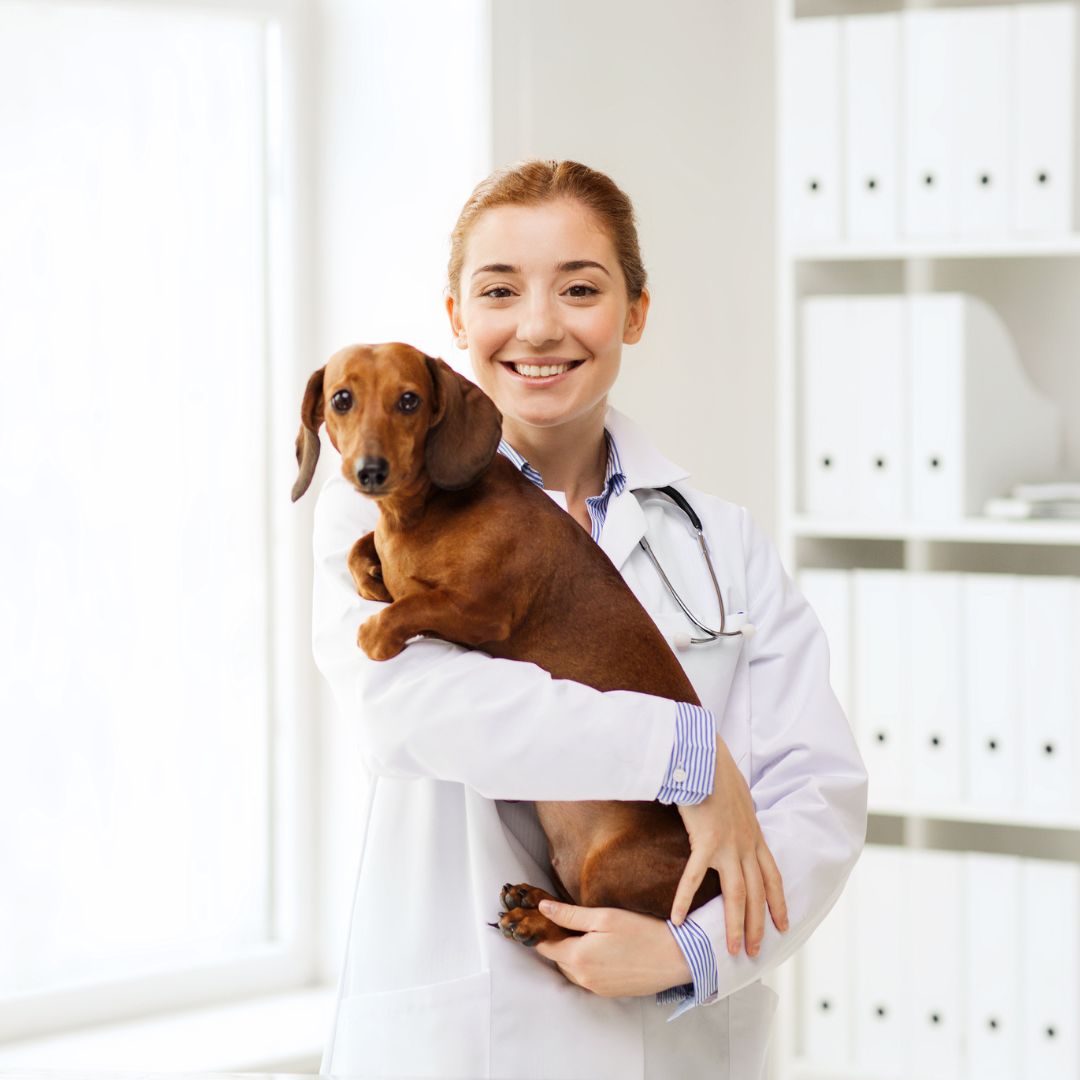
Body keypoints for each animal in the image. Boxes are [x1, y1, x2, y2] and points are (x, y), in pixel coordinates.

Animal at [291, 341, 721, 941]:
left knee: (589, 925)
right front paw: (371, 575)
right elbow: (360, 549)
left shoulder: (484, 611)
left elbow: (411, 605)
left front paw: (379, 629)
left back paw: (534, 920)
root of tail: (714, 886)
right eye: (342, 399)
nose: (370, 471)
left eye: (409, 400)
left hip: (614, 868)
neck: (423, 514)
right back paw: (529, 897)